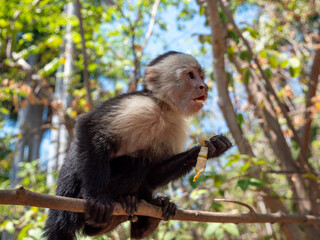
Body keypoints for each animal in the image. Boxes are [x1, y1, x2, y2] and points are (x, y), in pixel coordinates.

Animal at [43, 51, 231, 240]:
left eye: (202, 77)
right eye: (191, 75)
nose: (204, 86)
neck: (163, 108)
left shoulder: (175, 126)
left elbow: (154, 174)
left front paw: (211, 149)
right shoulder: (140, 105)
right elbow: (88, 126)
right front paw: (97, 197)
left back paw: (147, 216)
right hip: (71, 201)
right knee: (138, 162)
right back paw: (114, 204)